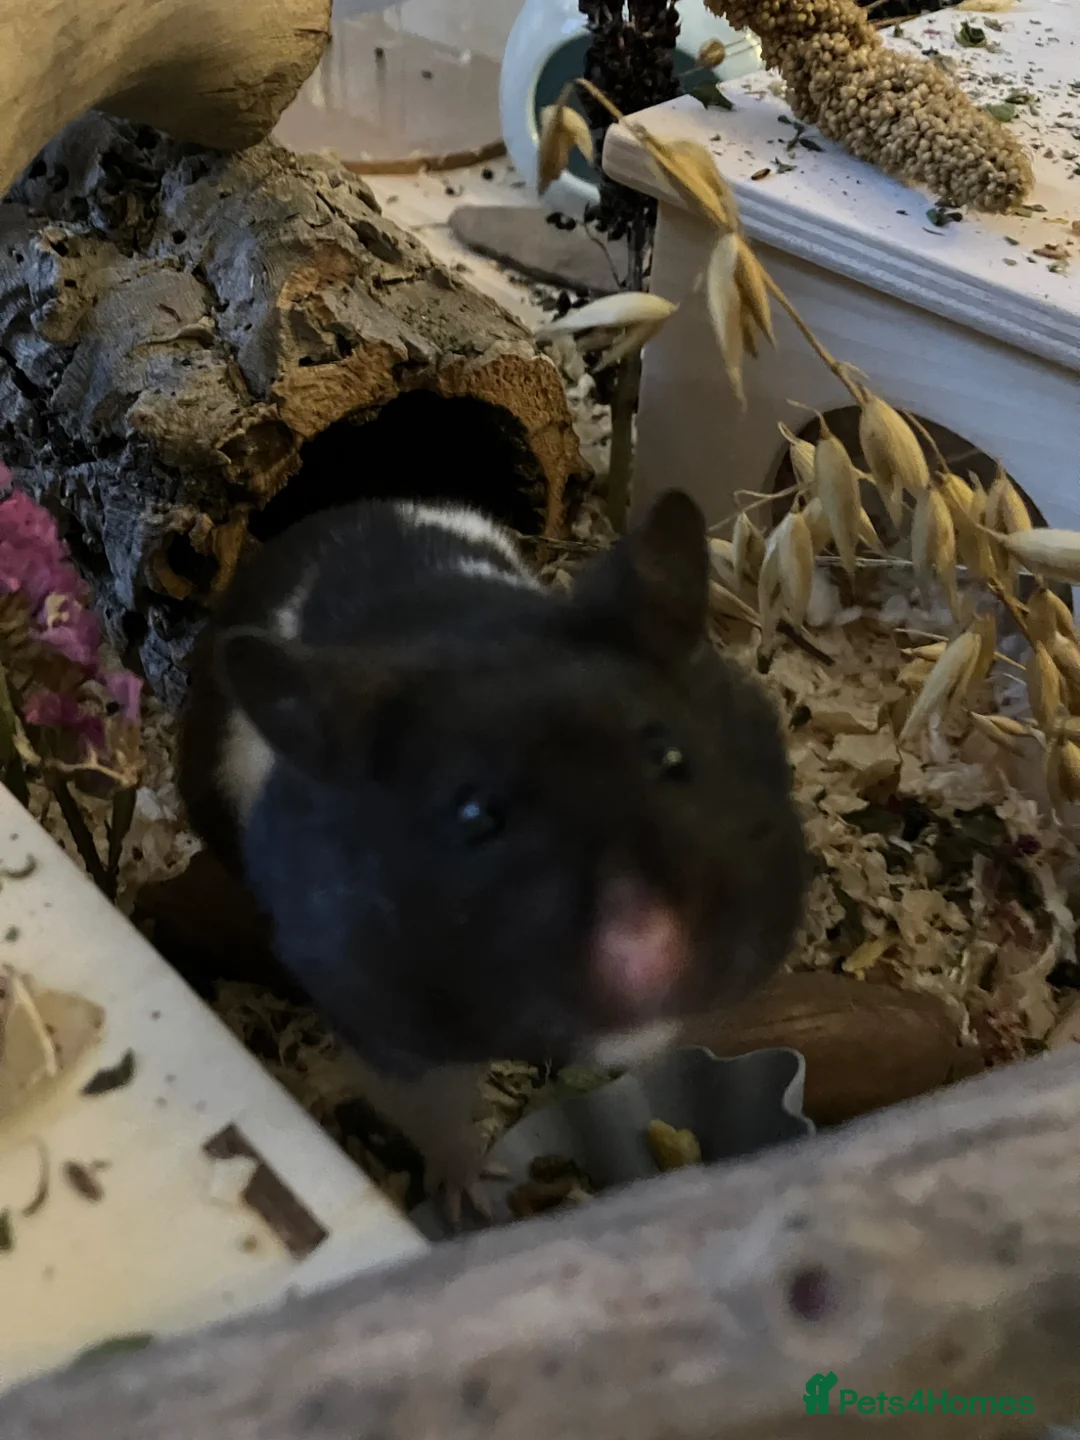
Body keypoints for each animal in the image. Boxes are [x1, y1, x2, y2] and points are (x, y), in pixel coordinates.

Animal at [178, 490, 810, 1218]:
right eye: (475, 814)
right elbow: (435, 1112)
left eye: (672, 756)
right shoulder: (385, 1022)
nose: (649, 960)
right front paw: (476, 1197)